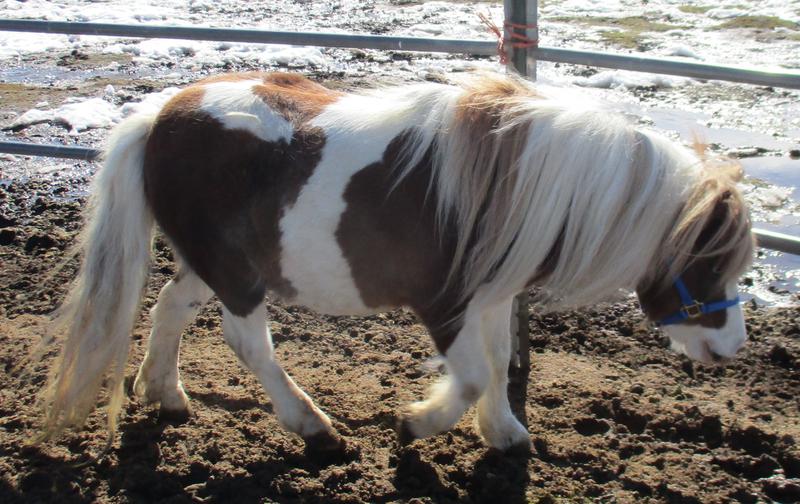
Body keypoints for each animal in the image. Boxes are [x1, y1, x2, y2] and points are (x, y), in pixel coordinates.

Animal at [39, 71, 753, 453]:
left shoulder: (493, 298)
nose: (732, 350)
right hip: (236, 277)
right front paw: (417, 424)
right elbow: (470, 377)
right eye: (711, 261)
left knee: (169, 308)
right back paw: (312, 426)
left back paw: (165, 393)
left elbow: (498, 364)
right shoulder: (445, 305)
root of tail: (162, 113)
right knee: (247, 342)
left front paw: (505, 432)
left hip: (212, 264)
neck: (513, 186)